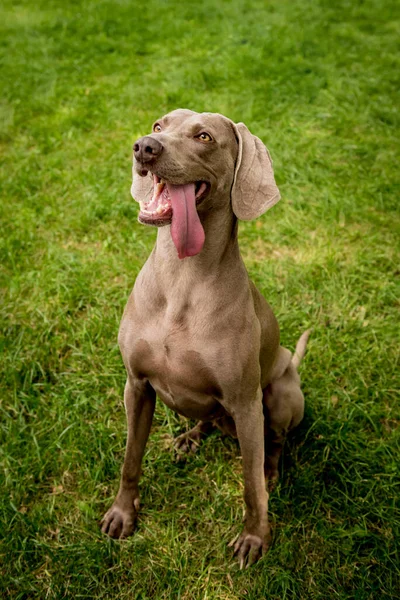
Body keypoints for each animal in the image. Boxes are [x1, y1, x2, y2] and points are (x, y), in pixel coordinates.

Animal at [100, 109, 310, 568]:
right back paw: (190, 437)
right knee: (206, 417)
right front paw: (122, 514)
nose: (144, 147)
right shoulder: (136, 385)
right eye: (159, 126)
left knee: (275, 443)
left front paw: (254, 537)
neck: (182, 278)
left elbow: (250, 486)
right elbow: (129, 459)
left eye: (204, 137)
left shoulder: (247, 405)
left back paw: (270, 469)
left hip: (281, 394)